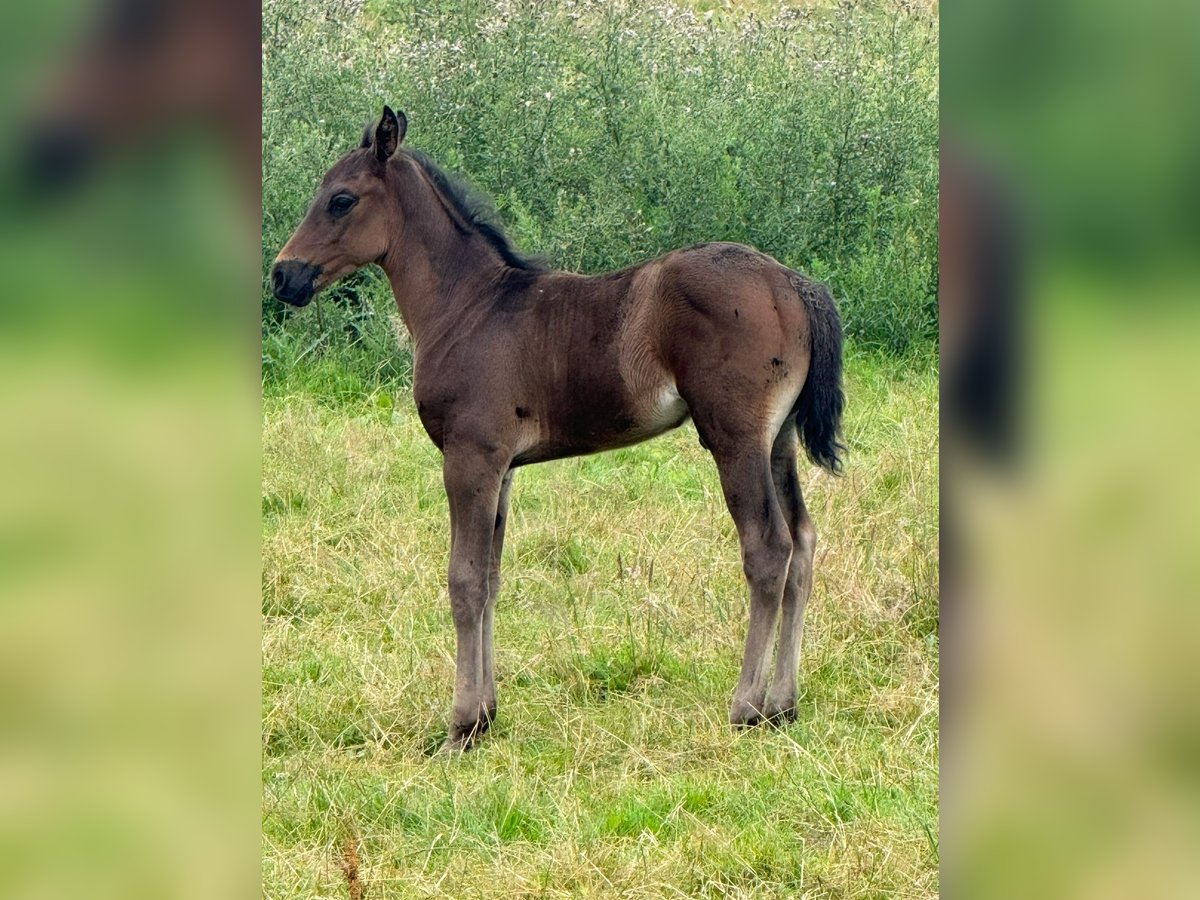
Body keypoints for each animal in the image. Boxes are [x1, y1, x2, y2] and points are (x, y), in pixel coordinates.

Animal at [272, 107, 844, 753]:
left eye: (341, 200)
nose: (282, 276)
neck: (468, 308)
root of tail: (793, 283)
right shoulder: (502, 469)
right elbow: (491, 579)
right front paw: (486, 715)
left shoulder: (470, 457)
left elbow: (464, 580)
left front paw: (460, 727)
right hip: (779, 441)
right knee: (802, 542)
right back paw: (783, 705)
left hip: (735, 438)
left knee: (768, 548)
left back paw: (746, 706)